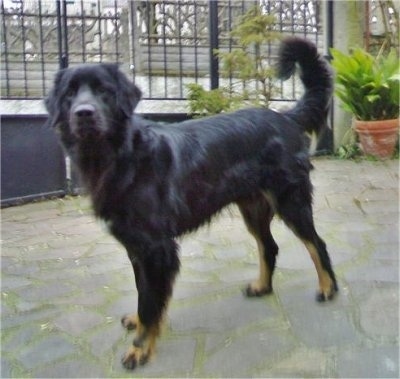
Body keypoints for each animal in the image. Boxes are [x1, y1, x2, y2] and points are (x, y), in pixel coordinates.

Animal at [44, 37, 338, 370]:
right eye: (69, 94)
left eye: (104, 91)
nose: (84, 112)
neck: (123, 156)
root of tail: (284, 116)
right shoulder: (137, 247)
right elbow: (143, 295)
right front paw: (142, 326)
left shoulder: (157, 249)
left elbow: (150, 302)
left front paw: (140, 349)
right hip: (253, 208)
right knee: (270, 247)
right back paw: (262, 286)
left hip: (291, 201)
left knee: (316, 243)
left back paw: (328, 288)